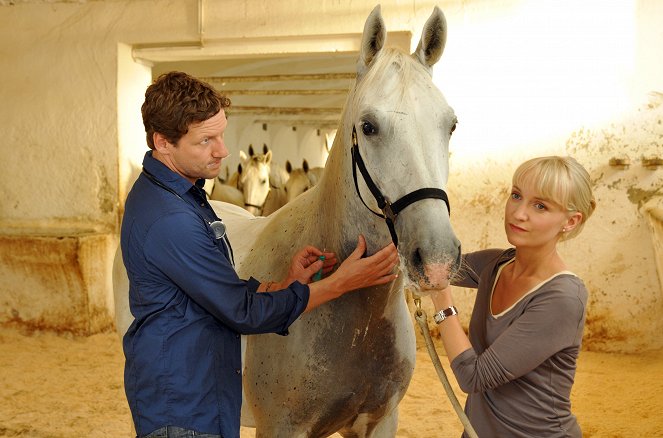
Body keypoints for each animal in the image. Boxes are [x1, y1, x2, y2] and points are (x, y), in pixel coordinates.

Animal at [115, 5, 456, 436]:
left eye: (450, 124)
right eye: (368, 127)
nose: (437, 259)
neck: (355, 321)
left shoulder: (378, 421)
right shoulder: (281, 427)